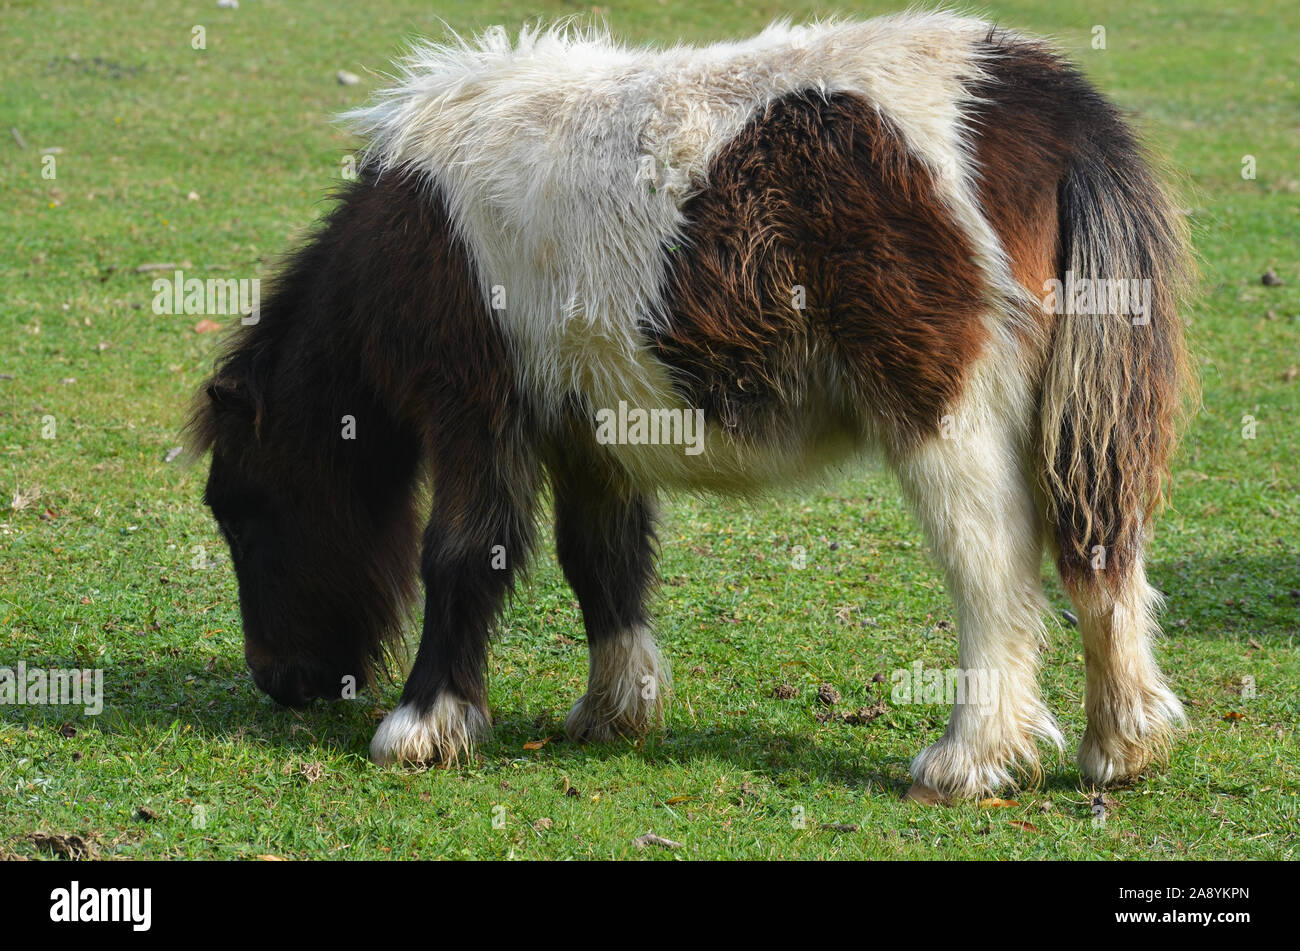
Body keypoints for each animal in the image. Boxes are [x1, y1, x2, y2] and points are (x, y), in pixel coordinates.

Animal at [187, 12, 1194, 801]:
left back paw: (968, 760)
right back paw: (1122, 746)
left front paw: (423, 725)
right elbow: (601, 560)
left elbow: (462, 553)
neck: (423, 229)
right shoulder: (584, 430)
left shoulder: (475, 409)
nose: (280, 683)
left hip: (947, 419)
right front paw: (614, 707)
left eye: (243, 509)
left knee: (992, 572)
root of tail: (1039, 106)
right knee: (1101, 550)